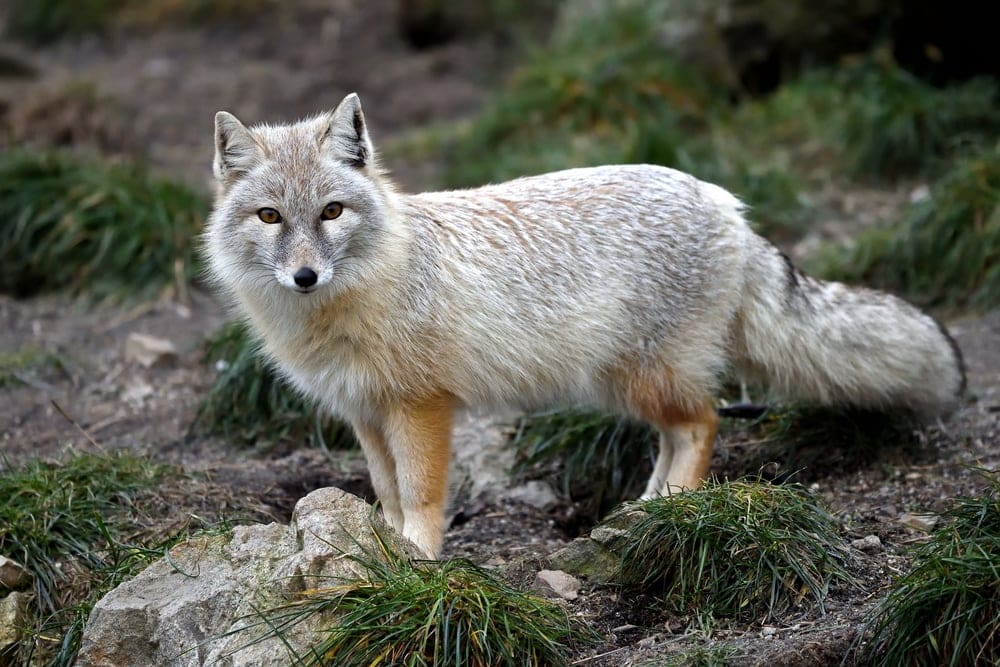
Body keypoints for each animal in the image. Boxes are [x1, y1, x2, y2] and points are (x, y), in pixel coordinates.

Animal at [204, 92, 965, 558]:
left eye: (331, 211)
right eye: (271, 217)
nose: (305, 276)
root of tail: (724, 201)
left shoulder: (421, 405)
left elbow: (421, 493)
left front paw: (416, 559)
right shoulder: (364, 409)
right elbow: (387, 493)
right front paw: (383, 551)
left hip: (644, 377)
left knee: (703, 422)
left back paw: (675, 506)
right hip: (623, 383)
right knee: (677, 432)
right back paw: (648, 510)